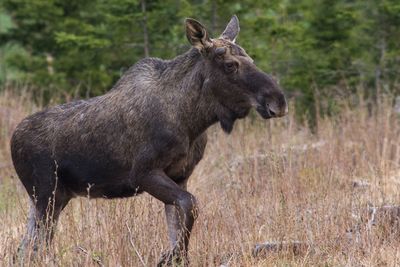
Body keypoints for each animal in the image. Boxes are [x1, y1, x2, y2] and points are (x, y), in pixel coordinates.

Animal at [10, 16, 288, 266]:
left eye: (251, 59)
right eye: (230, 65)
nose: (278, 101)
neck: (192, 120)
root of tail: (13, 140)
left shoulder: (180, 175)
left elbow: (180, 219)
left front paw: (176, 256)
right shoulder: (142, 173)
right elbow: (191, 204)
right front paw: (169, 256)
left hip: (49, 198)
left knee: (24, 249)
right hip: (47, 195)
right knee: (38, 248)